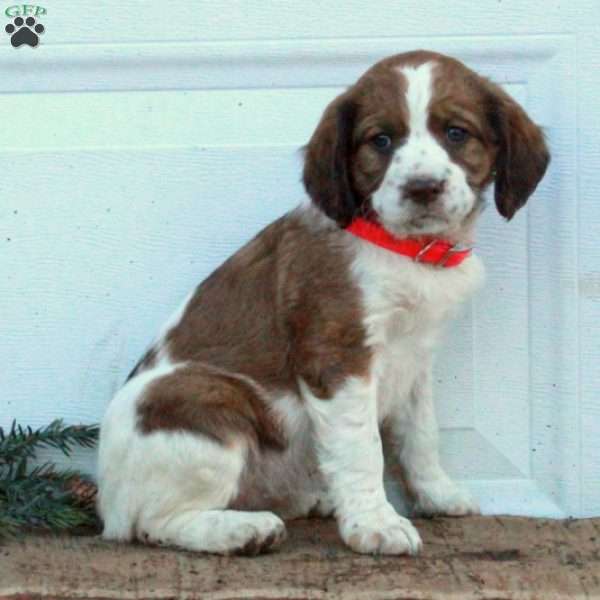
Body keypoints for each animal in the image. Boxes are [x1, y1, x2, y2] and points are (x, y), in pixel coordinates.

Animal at [97, 49, 548, 556]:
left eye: (456, 133)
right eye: (381, 139)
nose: (422, 187)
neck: (403, 250)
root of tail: (107, 504)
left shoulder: (415, 358)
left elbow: (420, 434)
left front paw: (436, 493)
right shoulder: (338, 355)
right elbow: (364, 447)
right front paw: (377, 524)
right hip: (201, 398)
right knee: (154, 522)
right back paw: (242, 530)